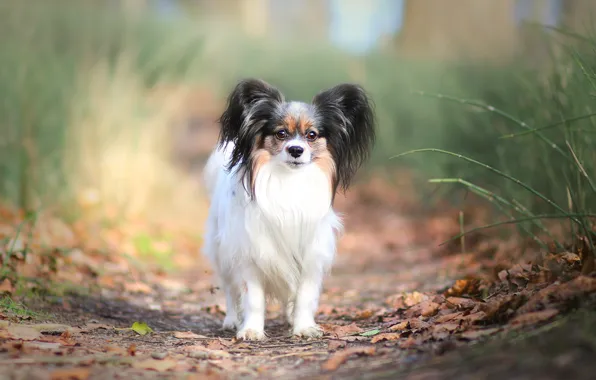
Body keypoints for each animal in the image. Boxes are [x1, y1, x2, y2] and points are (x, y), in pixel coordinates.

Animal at [203, 78, 374, 340]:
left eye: (311, 135)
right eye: (281, 133)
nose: (296, 150)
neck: (289, 182)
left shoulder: (310, 254)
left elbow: (304, 296)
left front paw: (304, 327)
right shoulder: (251, 254)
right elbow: (253, 298)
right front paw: (251, 330)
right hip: (223, 253)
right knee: (231, 292)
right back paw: (232, 320)